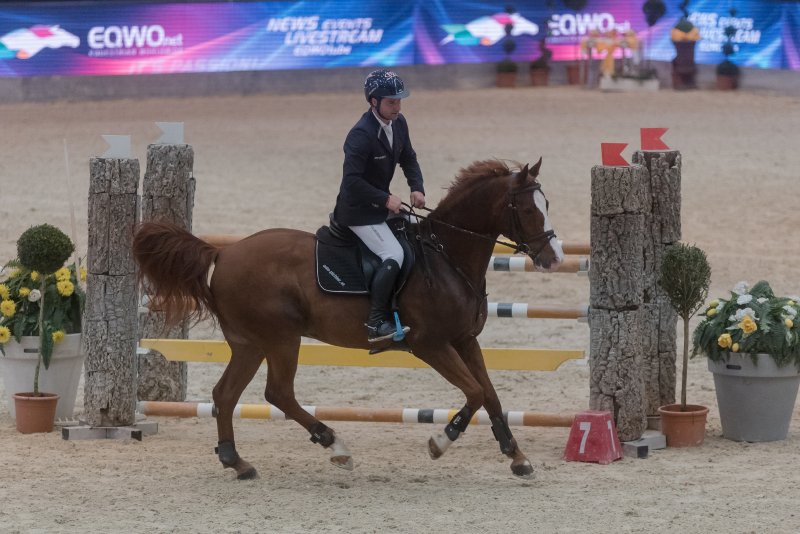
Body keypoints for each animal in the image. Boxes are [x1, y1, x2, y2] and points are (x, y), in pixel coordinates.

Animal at [133, 159, 564, 482]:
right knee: (278, 393)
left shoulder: (464, 340)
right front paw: (441, 441)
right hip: (281, 339)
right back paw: (334, 445)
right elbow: (473, 393)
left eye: (546, 204)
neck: (447, 257)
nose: (553, 258)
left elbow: (490, 395)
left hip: (249, 344)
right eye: (528, 210)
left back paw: (237, 462)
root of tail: (223, 253)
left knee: (225, 395)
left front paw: (517, 457)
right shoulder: (431, 345)